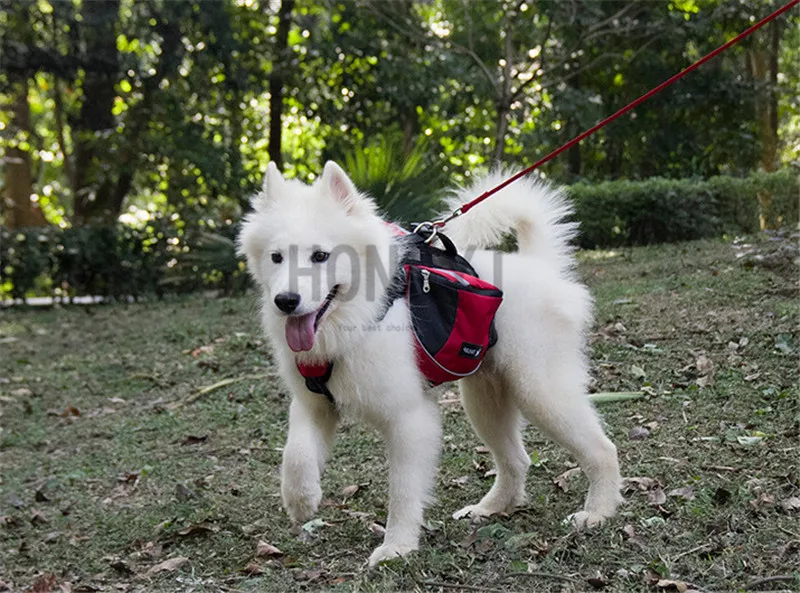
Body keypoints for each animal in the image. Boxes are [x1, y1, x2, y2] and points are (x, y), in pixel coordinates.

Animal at [238, 161, 624, 564]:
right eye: (276, 257)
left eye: (320, 256)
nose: (286, 301)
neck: (358, 315)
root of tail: (541, 265)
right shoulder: (313, 403)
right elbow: (295, 453)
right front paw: (301, 500)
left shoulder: (409, 419)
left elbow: (403, 491)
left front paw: (396, 546)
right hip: (485, 400)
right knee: (517, 460)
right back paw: (490, 508)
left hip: (539, 391)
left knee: (602, 449)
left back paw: (597, 512)